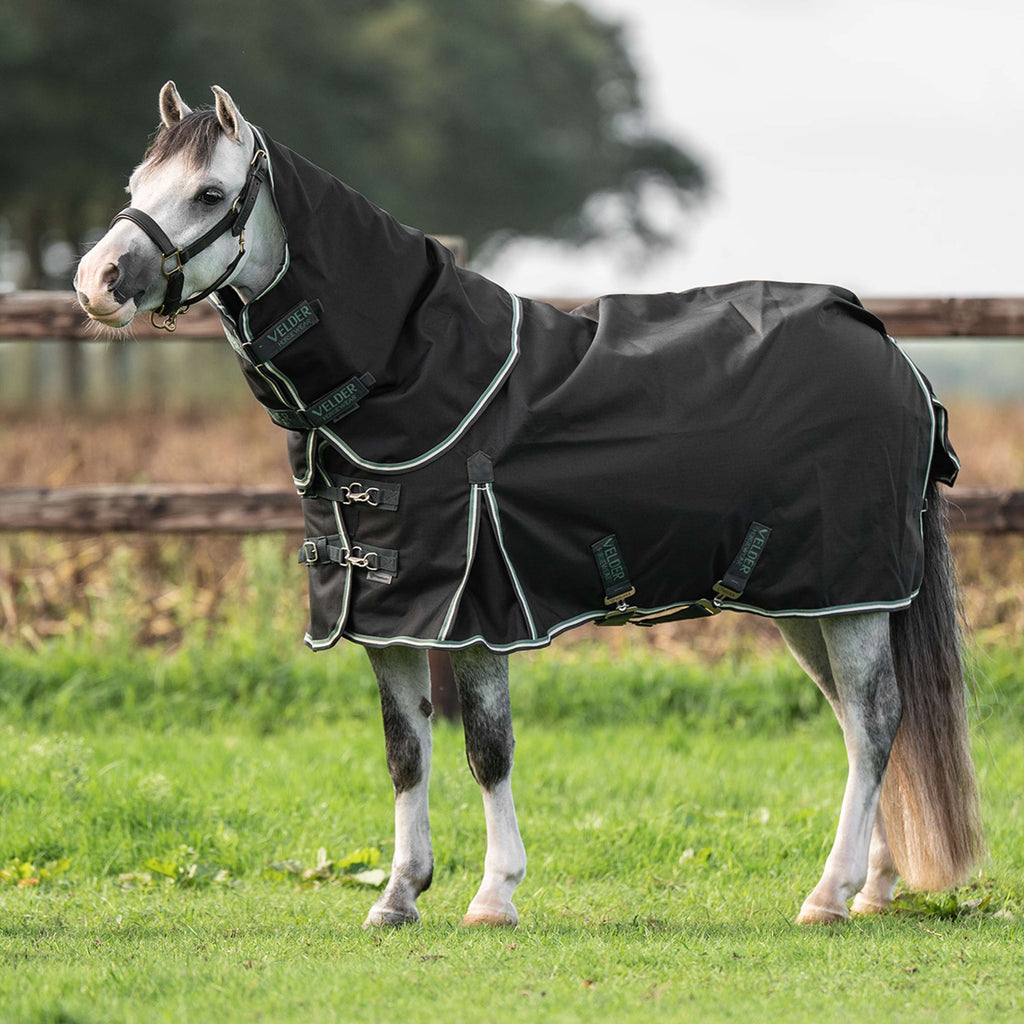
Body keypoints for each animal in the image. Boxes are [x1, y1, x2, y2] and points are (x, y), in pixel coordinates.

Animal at [75, 82, 983, 928]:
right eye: (137, 182)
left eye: (209, 194)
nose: (96, 282)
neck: (417, 378)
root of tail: (888, 347)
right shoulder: (387, 620)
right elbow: (406, 753)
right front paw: (398, 896)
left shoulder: (476, 615)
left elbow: (487, 750)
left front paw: (494, 894)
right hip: (811, 602)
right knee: (860, 725)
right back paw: (874, 888)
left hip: (851, 592)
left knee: (875, 722)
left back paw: (828, 895)